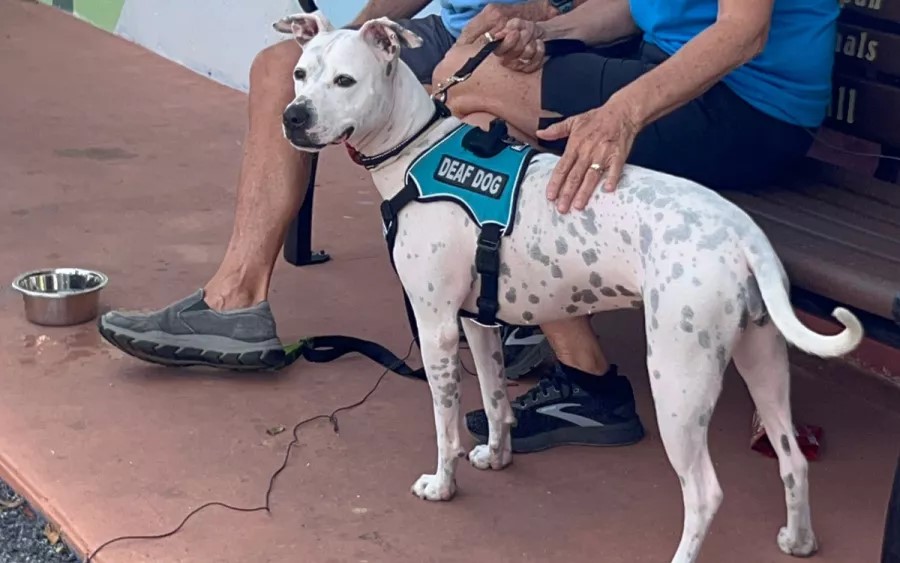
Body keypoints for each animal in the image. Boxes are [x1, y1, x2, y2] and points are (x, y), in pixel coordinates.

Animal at [272, 13, 864, 563]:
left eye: (345, 81)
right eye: (300, 74)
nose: (293, 116)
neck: (414, 154)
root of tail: (742, 231)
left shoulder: (437, 327)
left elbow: (445, 425)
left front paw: (443, 485)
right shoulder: (476, 322)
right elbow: (494, 399)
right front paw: (497, 455)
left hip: (679, 381)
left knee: (704, 493)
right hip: (763, 361)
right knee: (792, 459)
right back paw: (799, 539)